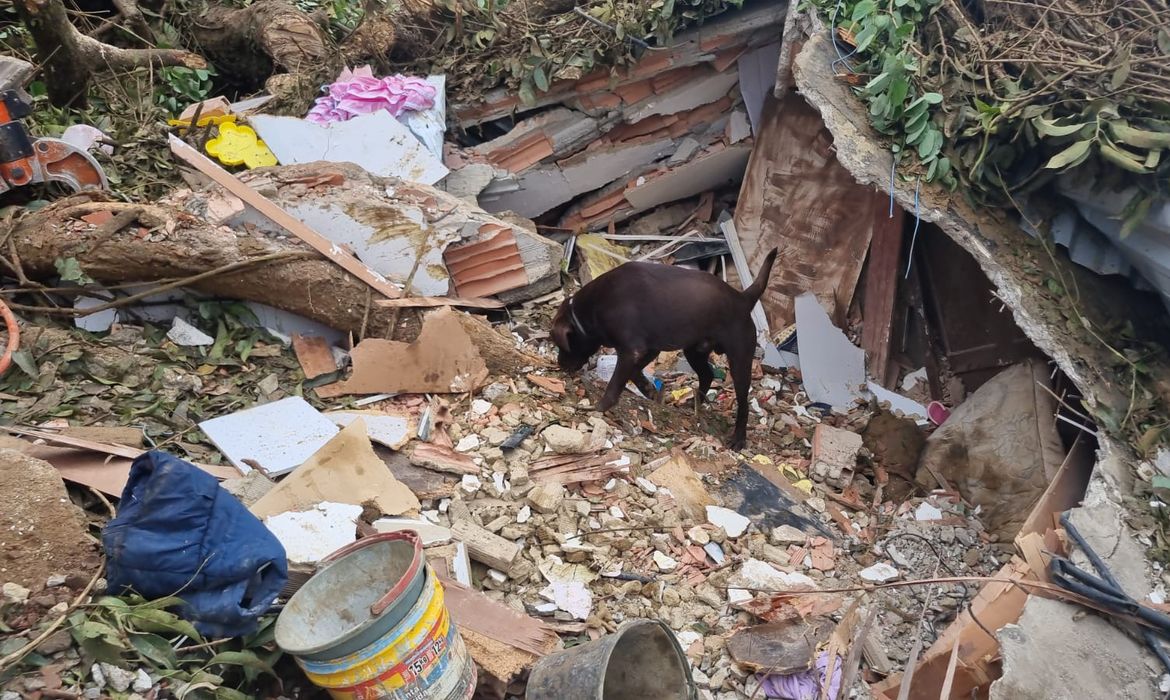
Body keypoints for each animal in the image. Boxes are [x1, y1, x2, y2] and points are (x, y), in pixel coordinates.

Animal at [549, 249, 776, 451]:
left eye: (560, 344)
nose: (559, 365)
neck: (592, 306)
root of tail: (743, 298)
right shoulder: (648, 349)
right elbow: (635, 373)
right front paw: (649, 390)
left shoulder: (632, 350)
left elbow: (615, 384)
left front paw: (600, 407)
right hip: (694, 351)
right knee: (707, 374)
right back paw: (695, 404)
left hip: (739, 360)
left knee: (743, 402)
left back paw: (738, 438)